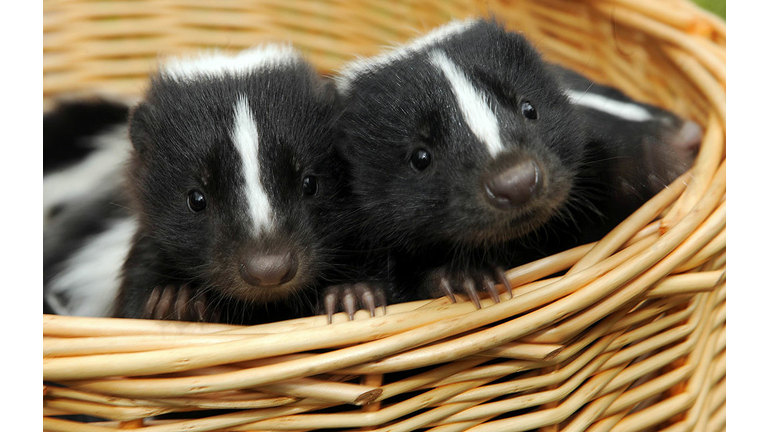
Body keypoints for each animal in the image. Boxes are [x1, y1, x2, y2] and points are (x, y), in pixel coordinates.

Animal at [115, 46, 350, 324]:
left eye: (310, 184)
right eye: (196, 200)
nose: (268, 269)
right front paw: (175, 301)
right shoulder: (148, 252)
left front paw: (348, 294)